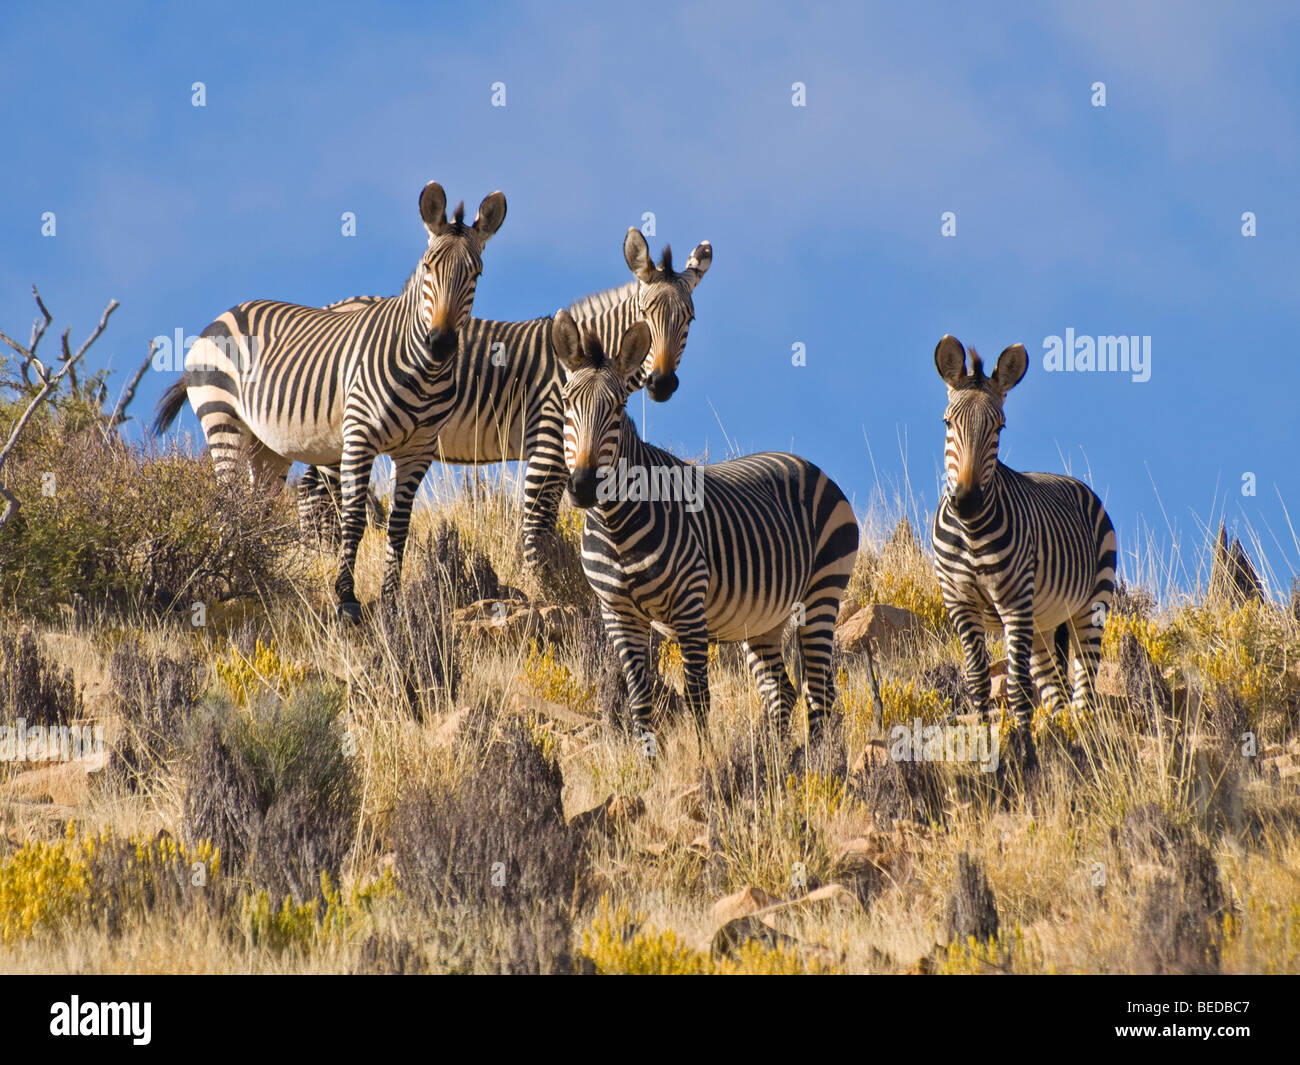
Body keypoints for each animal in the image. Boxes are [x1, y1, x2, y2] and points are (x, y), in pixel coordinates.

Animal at [152, 181, 507, 622]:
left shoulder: (419, 451)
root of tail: (223, 315)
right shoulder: (360, 436)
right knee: (228, 505)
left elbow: (399, 527)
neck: (424, 373)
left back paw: (250, 581)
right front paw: (347, 598)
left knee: (256, 509)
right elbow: (352, 519)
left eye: (476, 274)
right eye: (428, 268)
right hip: (222, 418)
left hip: (269, 446)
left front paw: (392, 602)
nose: (440, 344)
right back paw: (227, 584)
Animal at [297, 228, 711, 571]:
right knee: (318, 490)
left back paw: (316, 553)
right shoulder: (548, 445)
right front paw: (543, 588)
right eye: (644, 313)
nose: (662, 383)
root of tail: (333, 307)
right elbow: (536, 529)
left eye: (690, 320)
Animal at [556, 318, 859, 751]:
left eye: (617, 409)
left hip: (821, 594)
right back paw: (776, 756)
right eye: (567, 404)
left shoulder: (688, 606)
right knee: (782, 691)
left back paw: (816, 760)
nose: (583, 487)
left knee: (819, 691)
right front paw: (648, 760)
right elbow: (639, 697)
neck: (616, 525)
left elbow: (696, 694)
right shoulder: (617, 613)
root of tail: (808, 464)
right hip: (763, 619)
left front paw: (705, 758)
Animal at [930, 334, 1117, 767]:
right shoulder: (959, 602)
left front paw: (1025, 752)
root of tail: (1071, 480)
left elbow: (1016, 688)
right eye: (947, 423)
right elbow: (978, 682)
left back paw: (1083, 747)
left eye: (999, 427)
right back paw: (1063, 742)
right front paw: (983, 751)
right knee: (1057, 692)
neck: (970, 532)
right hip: (1043, 624)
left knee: (1084, 688)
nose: (967, 501)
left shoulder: (1014, 602)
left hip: (1090, 607)